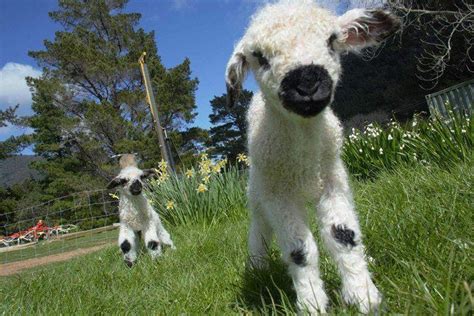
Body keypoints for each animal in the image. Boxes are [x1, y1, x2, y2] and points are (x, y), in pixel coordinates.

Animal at [226, 1, 400, 314]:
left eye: (332, 40)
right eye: (259, 57)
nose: (306, 82)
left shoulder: (333, 181)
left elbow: (343, 236)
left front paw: (363, 295)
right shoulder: (279, 195)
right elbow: (300, 249)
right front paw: (312, 303)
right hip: (259, 192)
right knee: (259, 230)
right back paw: (256, 267)